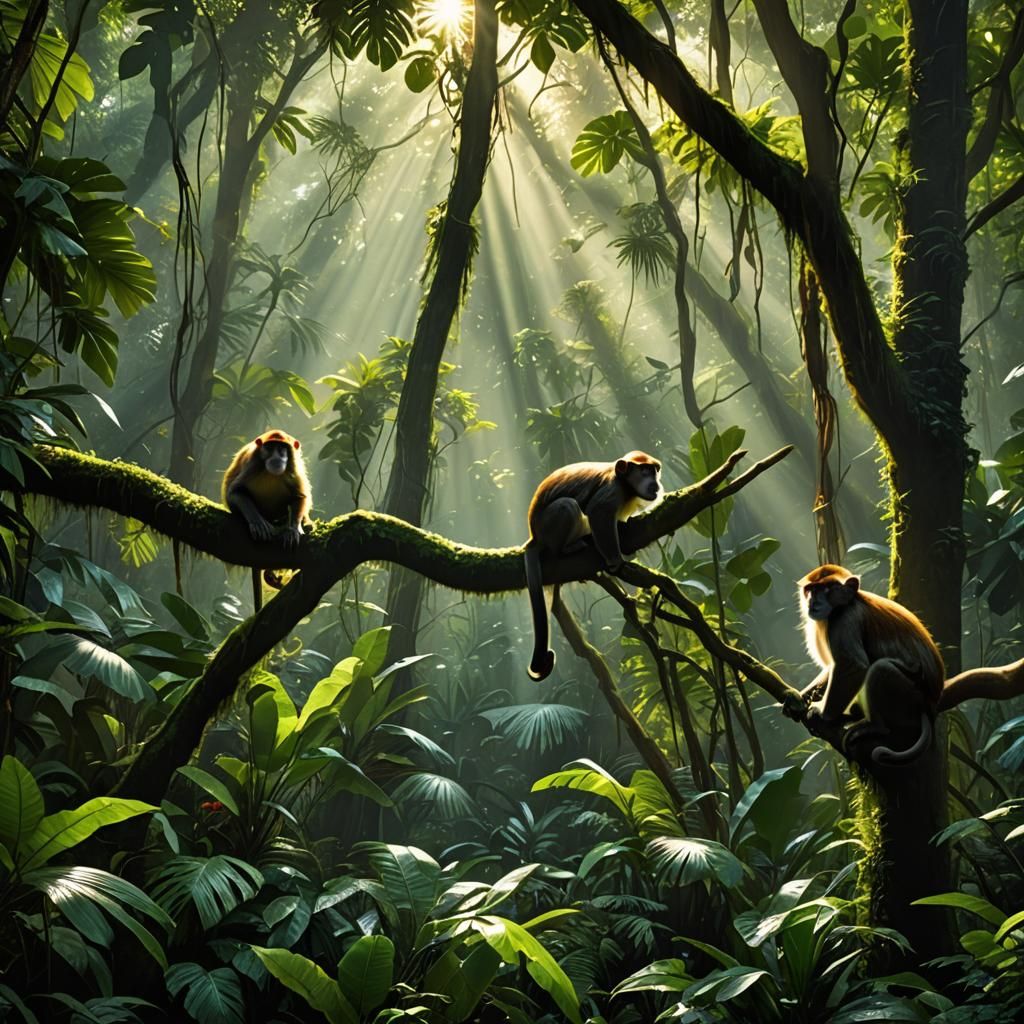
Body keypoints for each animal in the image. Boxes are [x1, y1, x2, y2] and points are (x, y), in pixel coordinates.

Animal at [222, 430, 312, 610]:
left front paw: (293, 529)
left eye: (282, 449)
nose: (277, 458)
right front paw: (257, 522)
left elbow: (300, 496)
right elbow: (235, 491)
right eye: (270, 448)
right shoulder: (253, 463)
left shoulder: (292, 465)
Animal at [524, 451, 662, 680]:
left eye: (654, 471)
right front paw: (615, 561)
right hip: (548, 526)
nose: (655, 484)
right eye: (645, 472)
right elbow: (597, 512)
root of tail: (535, 534)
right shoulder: (612, 489)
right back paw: (566, 549)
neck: (625, 485)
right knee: (568, 506)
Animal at [797, 564, 945, 766]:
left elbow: (853, 665)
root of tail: (930, 706)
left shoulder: (843, 619)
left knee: (880, 669)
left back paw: (876, 727)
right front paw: (798, 698)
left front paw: (823, 714)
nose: (812, 601)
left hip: (911, 695)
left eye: (824, 589)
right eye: (810, 590)